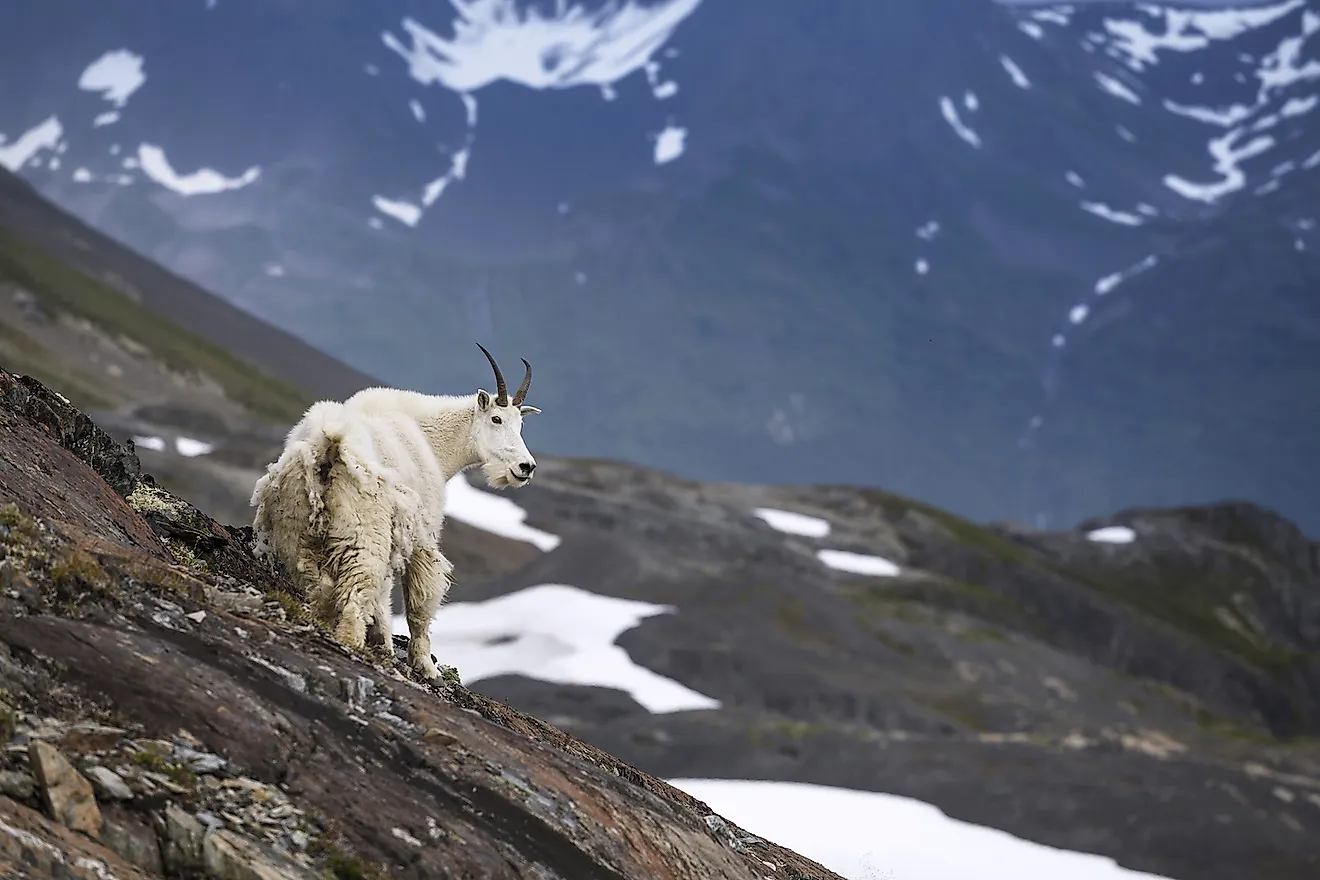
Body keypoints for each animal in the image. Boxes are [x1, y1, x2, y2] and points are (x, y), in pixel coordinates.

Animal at [248, 343, 541, 680]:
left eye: (520, 424)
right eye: (496, 419)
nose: (526, 467)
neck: (430, 440)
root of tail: (329, 445)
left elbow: (384, 596)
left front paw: (384, 644)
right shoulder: (421, 532)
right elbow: (418, 601)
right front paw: (425, 665)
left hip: (296, 529)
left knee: (320, 585)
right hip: (363, 534)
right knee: (356, 594)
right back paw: (352, 642)